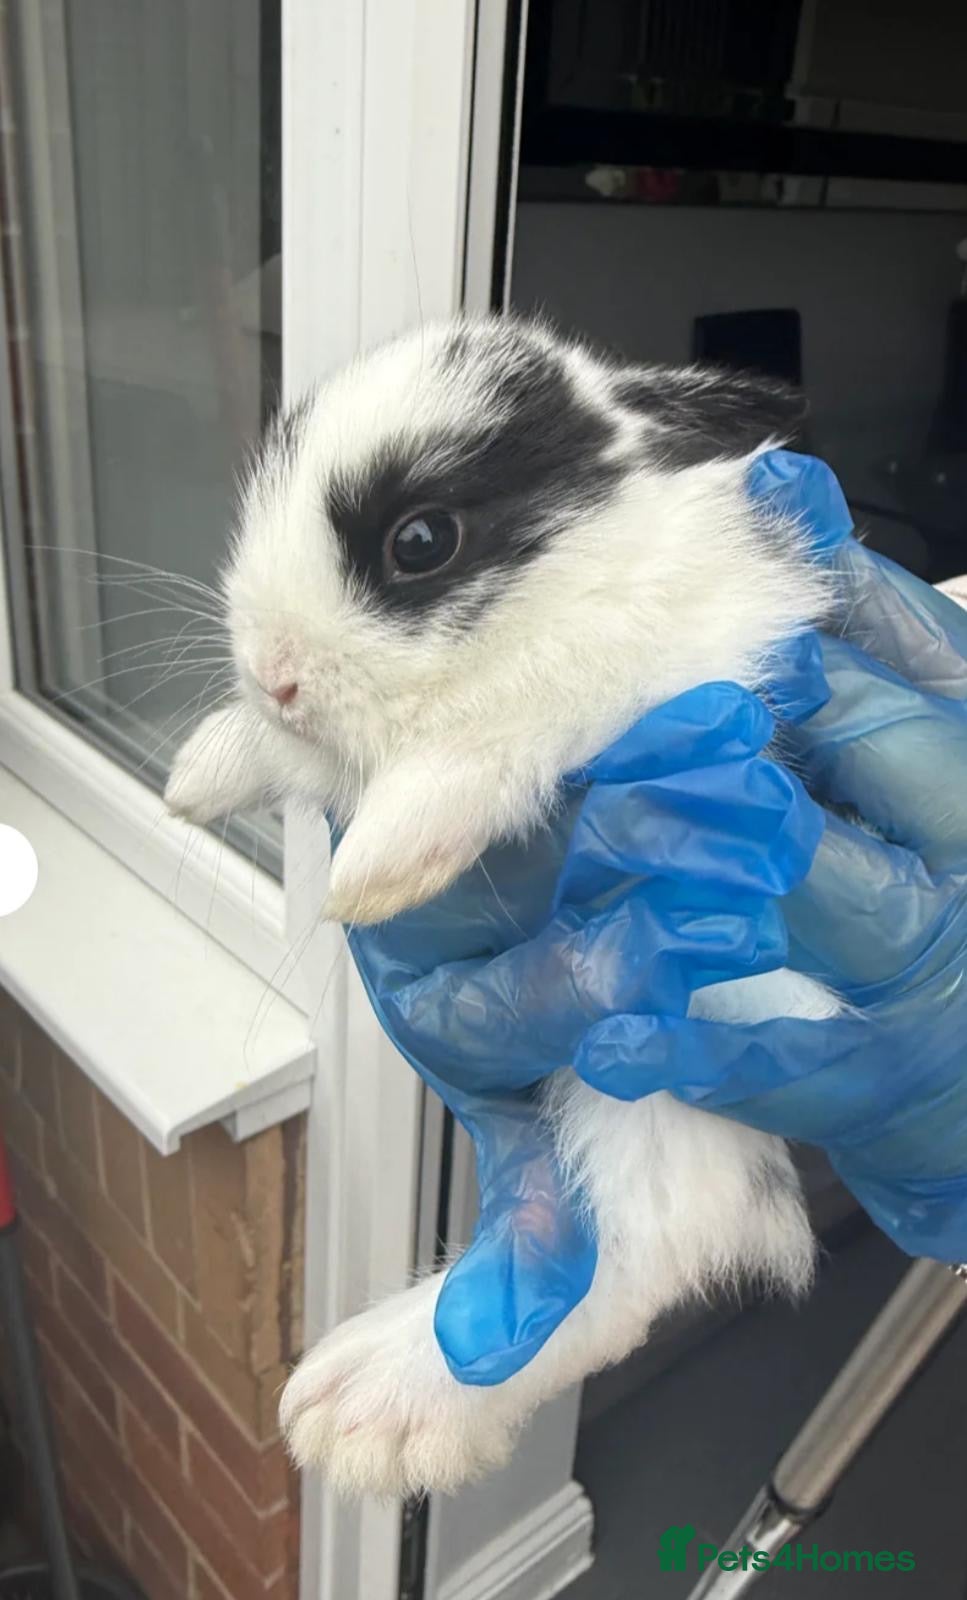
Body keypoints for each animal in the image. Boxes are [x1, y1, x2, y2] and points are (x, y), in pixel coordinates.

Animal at [165, 313, 842, 1499]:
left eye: (420, 542)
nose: (274, 675)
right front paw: (204, 769)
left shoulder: (671, 662)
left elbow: (524, 704)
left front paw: (380, 857)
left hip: (678, 1053)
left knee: (653, 1245)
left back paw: (371, 1402)